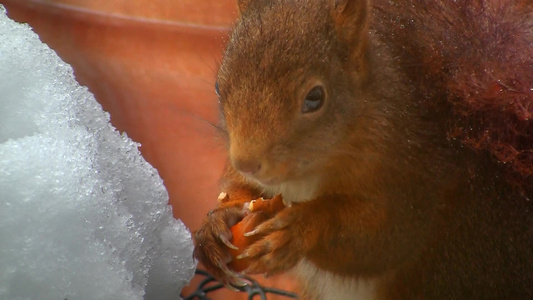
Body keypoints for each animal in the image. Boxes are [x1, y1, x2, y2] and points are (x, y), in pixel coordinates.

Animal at [194, 1, 532, 298]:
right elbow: (237, 189)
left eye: (315, 98)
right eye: (218, 87)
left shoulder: (413, 173)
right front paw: (216, 223)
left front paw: (299, 227)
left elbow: (382, 240)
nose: (247, 163)